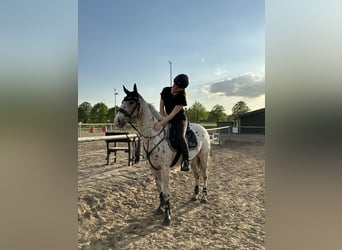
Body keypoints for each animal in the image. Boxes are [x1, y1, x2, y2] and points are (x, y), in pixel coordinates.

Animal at [114, 84, 211, 227]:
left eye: (131, 102)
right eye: (122, 101)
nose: (117, 121)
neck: (152, 135)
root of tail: (203, 129)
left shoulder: (165, 169)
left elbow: (166, 192)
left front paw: (167, 216)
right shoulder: (154, 168)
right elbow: (159, 189)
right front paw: (160, 208)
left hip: (203, 158)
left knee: (204, 176)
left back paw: (203, 197)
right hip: (193, 160)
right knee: (197, 175)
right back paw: (195, 196)